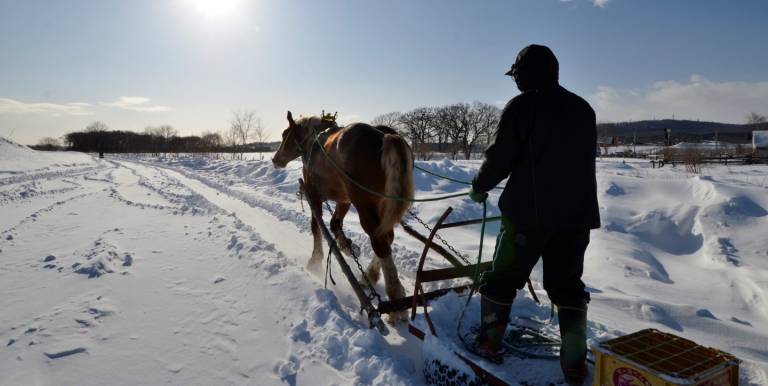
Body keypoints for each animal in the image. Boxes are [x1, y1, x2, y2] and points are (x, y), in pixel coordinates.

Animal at [272, 113, 414, 322]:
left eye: (285, 134)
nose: (275, 159)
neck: (313, 142)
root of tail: (385, 137)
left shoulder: (314, 196)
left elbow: (317, 226)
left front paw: (315, 261)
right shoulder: (344, 200)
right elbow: (334, 224)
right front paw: (346, 246)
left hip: (364, 204)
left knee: (380, 241)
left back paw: (396, 303)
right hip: (384, 204)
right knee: (387, 237)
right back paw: (369, 277)